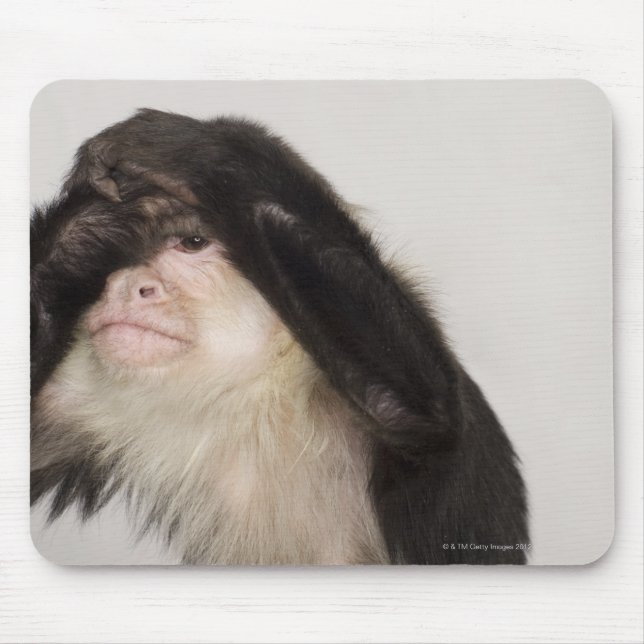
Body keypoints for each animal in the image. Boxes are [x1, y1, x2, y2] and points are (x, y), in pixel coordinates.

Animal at [31, 109, 529, 564]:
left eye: (192, 243)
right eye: (118, 266)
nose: (127, 285)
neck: (254, 396)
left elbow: (419, 414)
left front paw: (200, 148)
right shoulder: (84, 404)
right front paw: (94, 225)